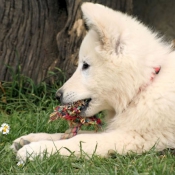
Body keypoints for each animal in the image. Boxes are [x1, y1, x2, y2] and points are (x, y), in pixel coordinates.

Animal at [11, 3, 175, 161]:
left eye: (85, 65)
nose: (57, 95)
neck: (144, 86)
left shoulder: (137, 137)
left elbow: (80, 140)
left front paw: (35, 149)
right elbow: (73, 133)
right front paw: (30, 139)